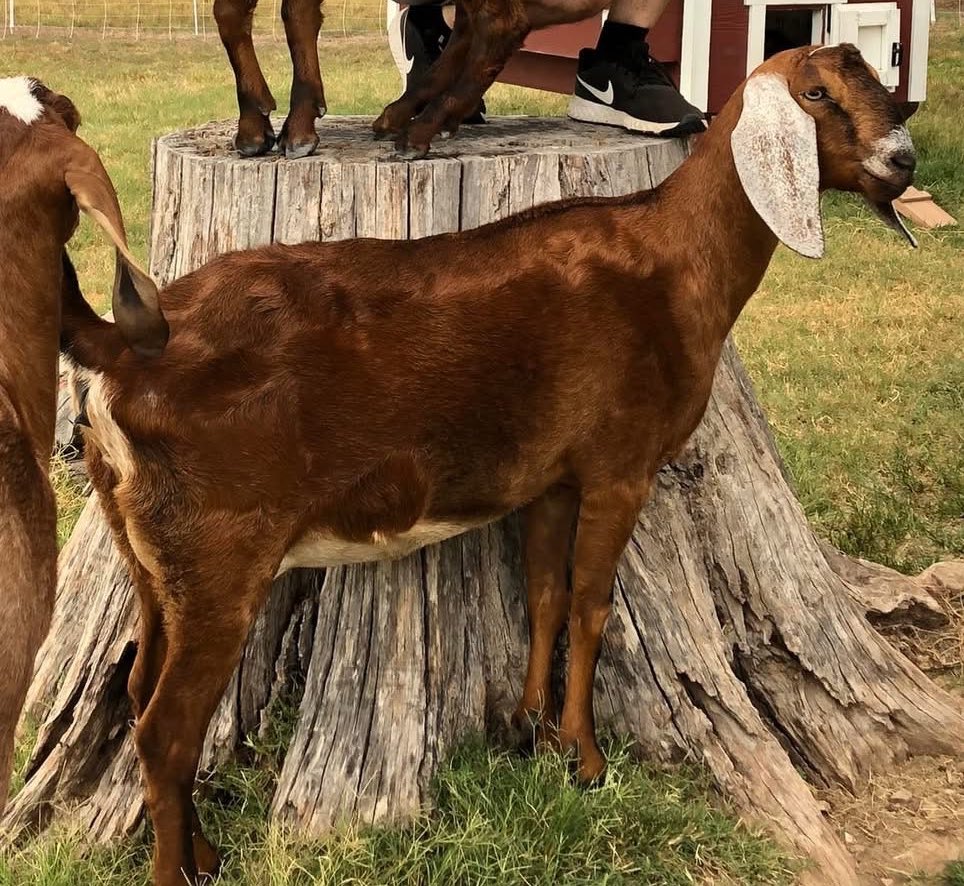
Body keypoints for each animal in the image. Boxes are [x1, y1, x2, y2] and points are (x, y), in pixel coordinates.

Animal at [61, 45, 916, 884]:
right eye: (816, 92)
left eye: (885, 84)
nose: (901, 160)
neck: (673, 262)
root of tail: (119, 356)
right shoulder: (620, 465)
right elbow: (592, 606)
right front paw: (586, 759)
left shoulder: (551, 477)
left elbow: (543, 595)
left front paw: (531, 729)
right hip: (217, 556)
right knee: (165, 731)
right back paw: (181, 867)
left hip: (149, 557)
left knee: (136, 690)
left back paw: (202, 853)